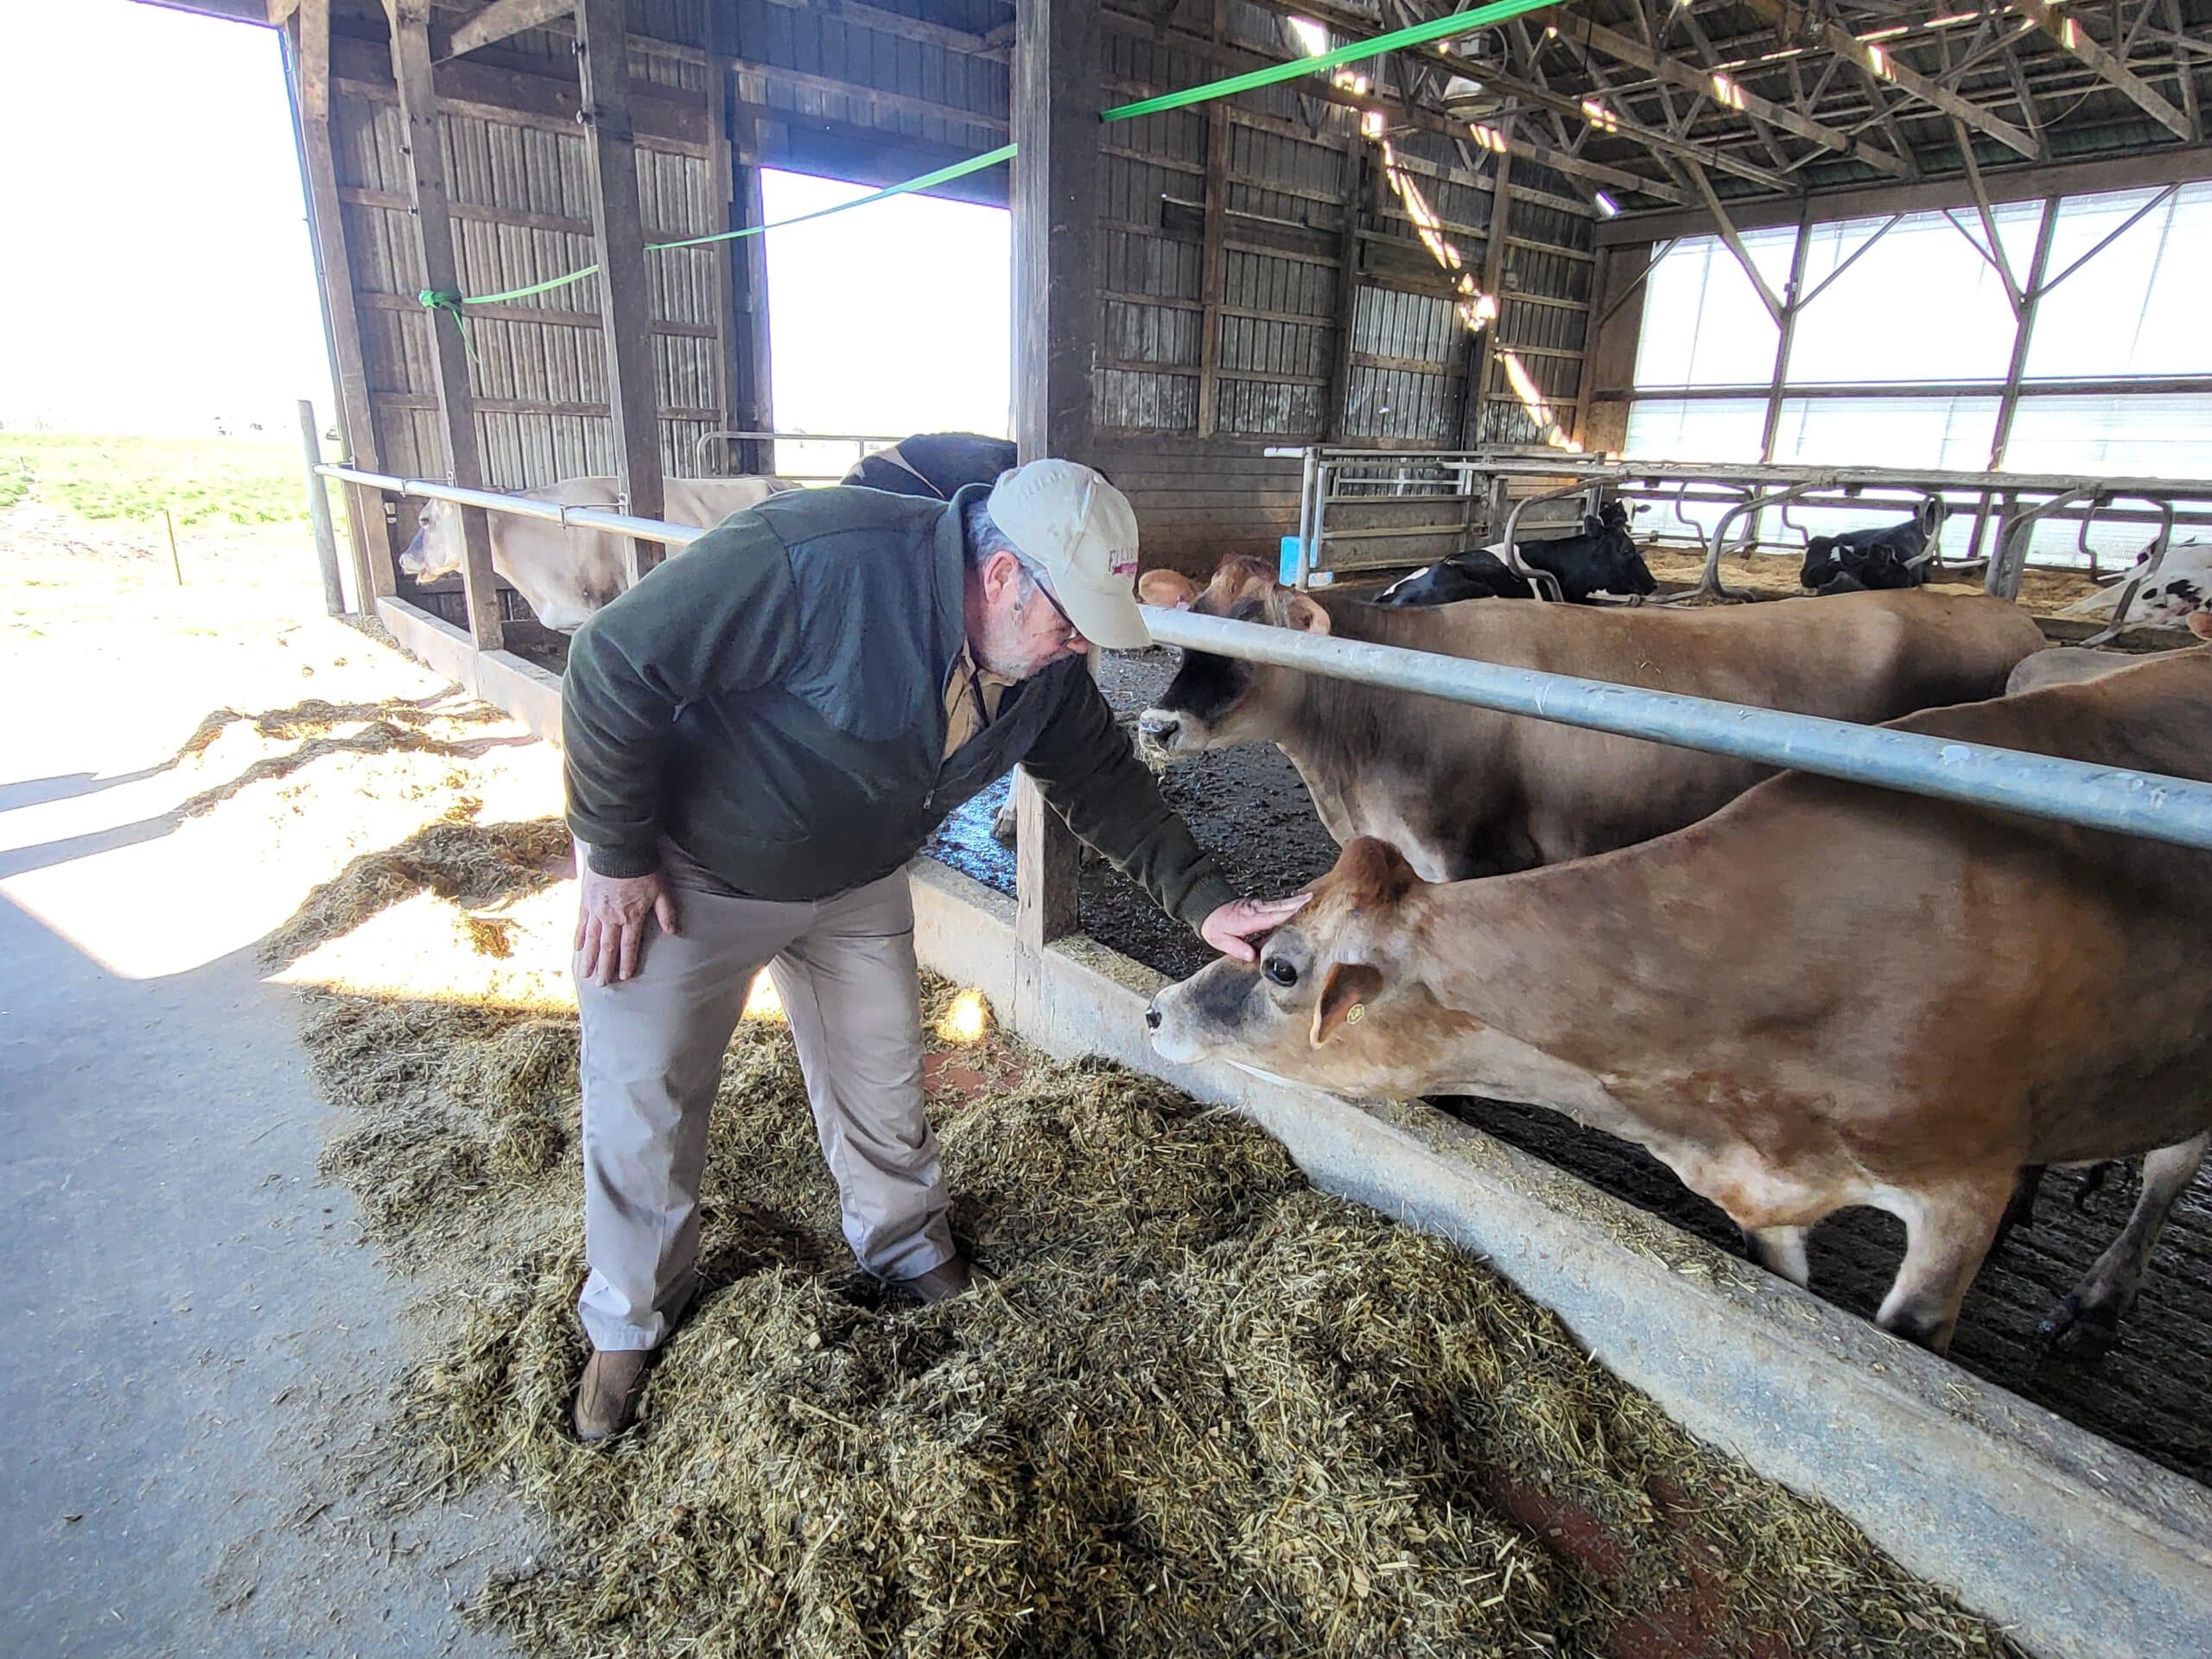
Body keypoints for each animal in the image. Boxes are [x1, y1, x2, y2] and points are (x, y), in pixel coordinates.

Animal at [1150, 645, 2212, 1353]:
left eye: (1283, 969)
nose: (1158, 1010)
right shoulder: (1763, 1199)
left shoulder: (1959, 1186)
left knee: (2168, 1167)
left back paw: (2096, 1303)